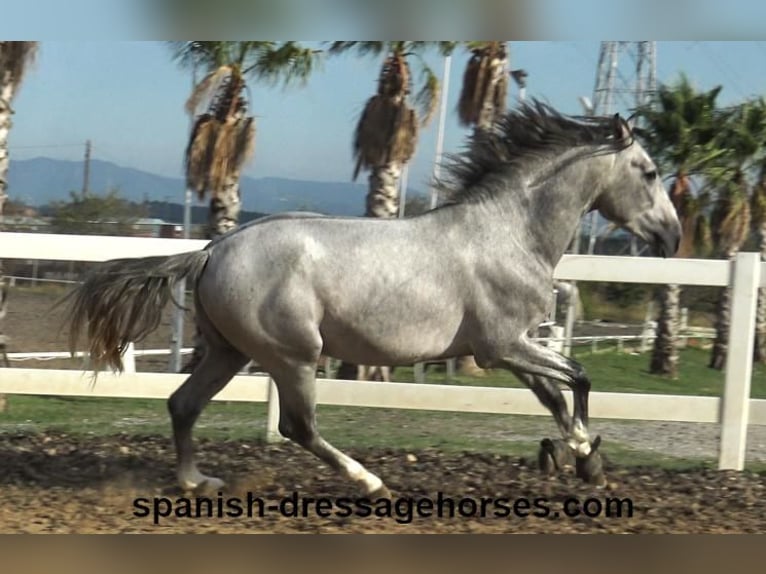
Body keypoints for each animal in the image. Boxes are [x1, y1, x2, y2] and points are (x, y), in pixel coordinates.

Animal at [63, 102, 680, 500]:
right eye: (649, 172)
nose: (673, 237)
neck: (508, 232)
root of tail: (213, 248)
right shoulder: (501, 345)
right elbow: (578, 377)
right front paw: (581, 453)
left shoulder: (513, 347)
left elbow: (555, 394)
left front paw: (583, 460)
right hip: (293, 356)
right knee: (297, 427)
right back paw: (369, 481)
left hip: (229, 352)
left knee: (183, 405)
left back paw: (197, 481)